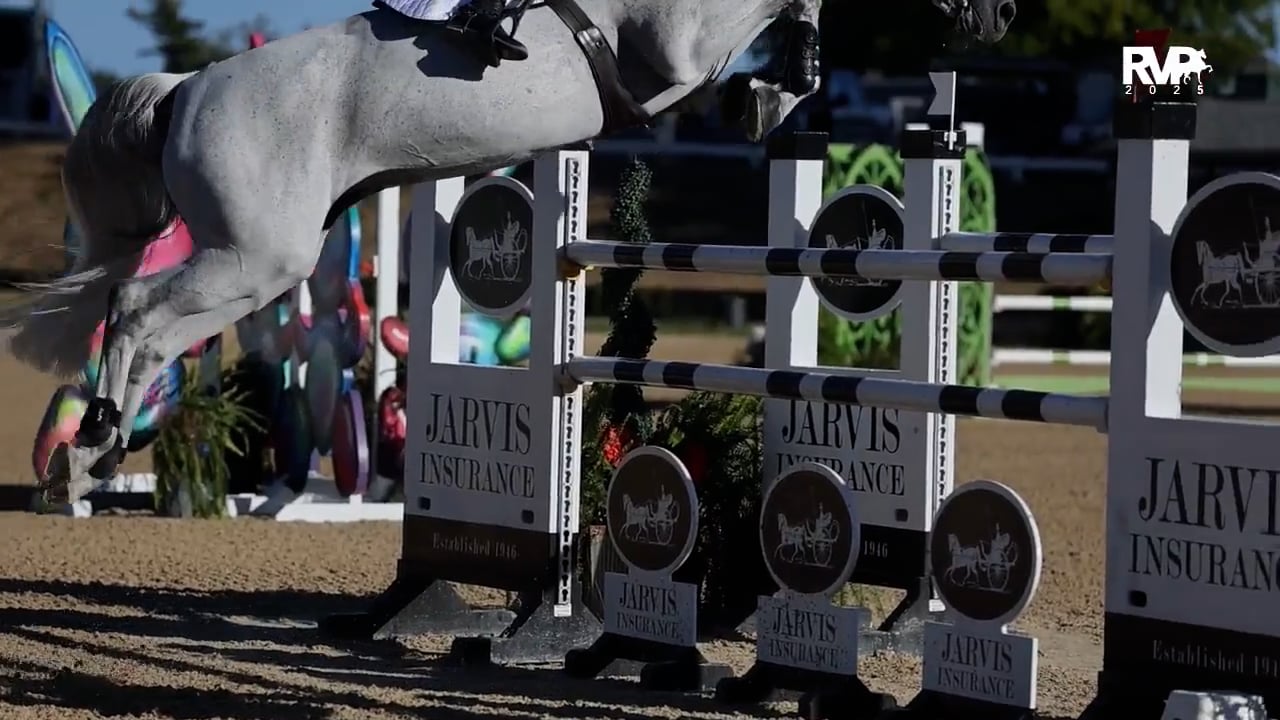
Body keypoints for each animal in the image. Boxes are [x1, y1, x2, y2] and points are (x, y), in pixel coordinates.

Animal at [5, 0, 1015, 503]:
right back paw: (89, 446)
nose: (999, 16)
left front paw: (782, 83)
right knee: (137, 316)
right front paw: (764, 92)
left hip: (251, 261)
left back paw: (87, 460)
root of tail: (187, 88)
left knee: (142, 325)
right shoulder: (677, 47)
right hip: (258, 258)